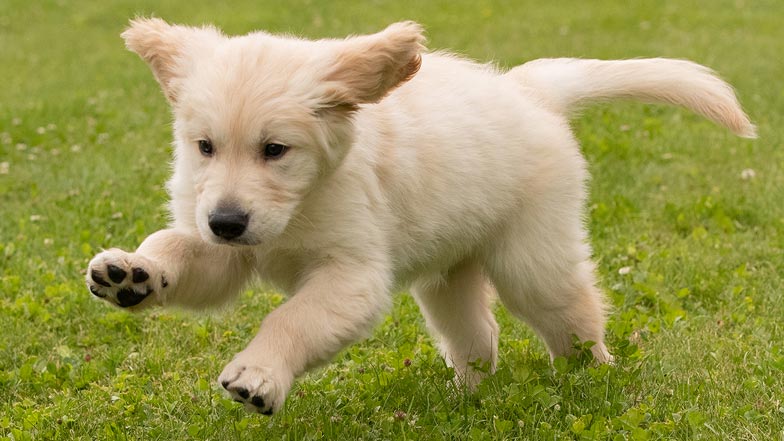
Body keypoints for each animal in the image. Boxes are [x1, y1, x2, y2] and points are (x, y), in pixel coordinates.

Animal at [84, 18, 752, 414]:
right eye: (204, 146)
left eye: (275, 150)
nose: (225, 223)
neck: (301, 203)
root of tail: (529, 90)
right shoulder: (224, 239)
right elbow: (178, 248)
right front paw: (132, 273)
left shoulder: (352, 275)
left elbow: (292, 318)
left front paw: (259, 373)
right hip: (448, 275)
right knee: (477, 336)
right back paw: (465, 397)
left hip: (531, 260)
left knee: (574, 316)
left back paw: (593, 380)